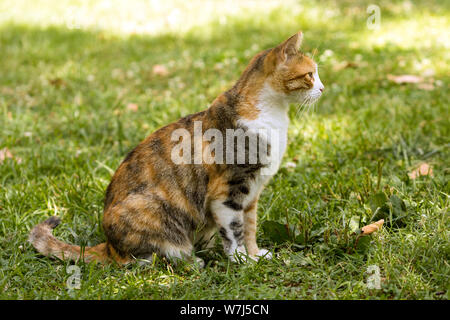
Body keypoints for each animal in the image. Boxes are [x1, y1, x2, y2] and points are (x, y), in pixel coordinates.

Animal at [29, 31, 324, 266]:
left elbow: (249, 227)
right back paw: (189, 261)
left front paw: (254, 254)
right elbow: (234, 229)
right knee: (142, 259)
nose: (323, 89)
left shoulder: (252, 193)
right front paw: (241, 259)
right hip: (151, 211)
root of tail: (110, 246)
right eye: (310, 74)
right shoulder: (228, 190)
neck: (273, 115)